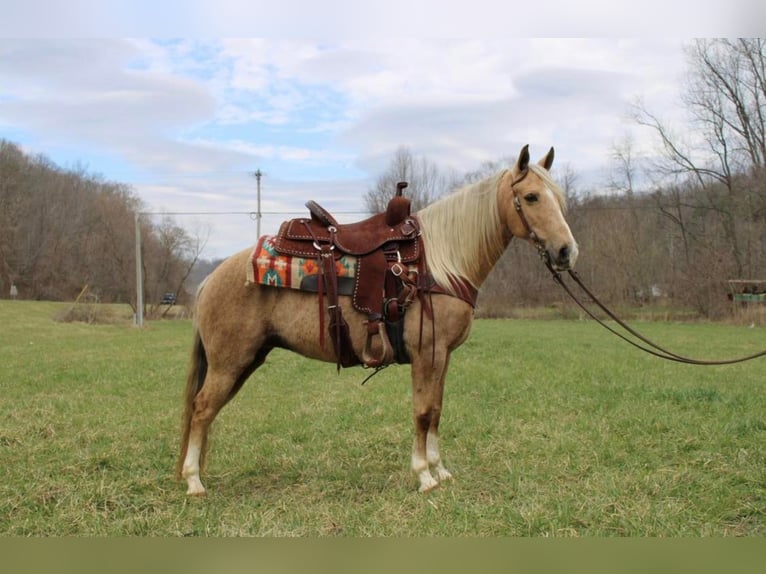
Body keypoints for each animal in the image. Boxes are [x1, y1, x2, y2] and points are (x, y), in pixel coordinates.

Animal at [178, 145, 576, 496]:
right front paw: (424, 476)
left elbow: (437, 411)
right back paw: (194, 481)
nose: (566, 251)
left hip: (244, 362)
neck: (441, 266)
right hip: (230, 362)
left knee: (206, 411)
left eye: (559, 198)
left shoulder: (443, 356)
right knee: (202, 409)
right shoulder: (427, 353)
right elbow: (423, 412)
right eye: (531, 197)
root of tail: (211, 278)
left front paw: (440, 470)